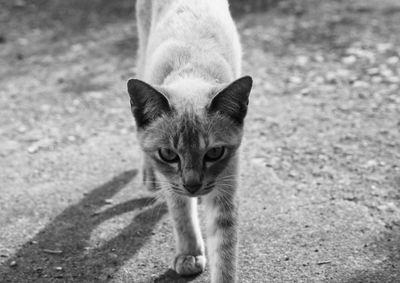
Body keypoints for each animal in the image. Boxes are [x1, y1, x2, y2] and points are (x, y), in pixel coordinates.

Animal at [128, 1, 252, 282]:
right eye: (168, 154)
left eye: (214, 153)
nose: (193, 185)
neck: (191, 70)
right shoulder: (173, 183)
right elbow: (182, 216)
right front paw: (190, 256)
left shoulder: (226, 186)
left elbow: (224, 248)